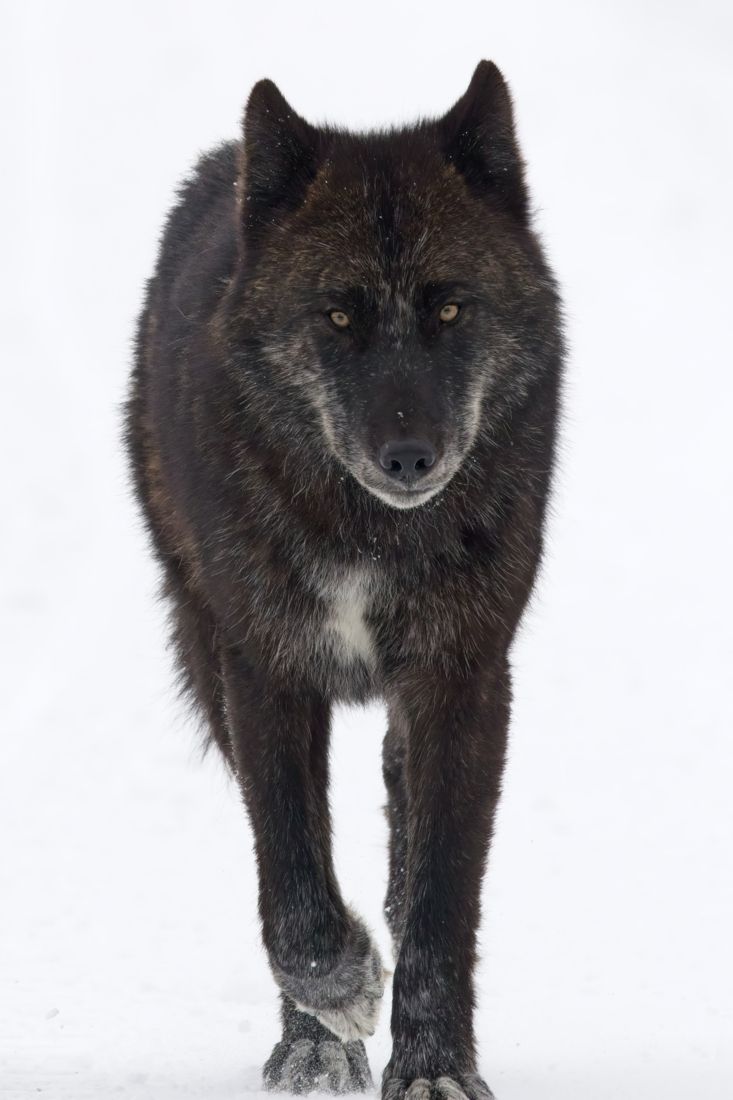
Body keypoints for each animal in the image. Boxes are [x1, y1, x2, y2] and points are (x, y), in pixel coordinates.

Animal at [125, 60, 562, 1098]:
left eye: (449, 308)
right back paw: (313, 1042)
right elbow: (290, 876)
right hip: (202, 646)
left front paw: (434, 1068)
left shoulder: (462, 680)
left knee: (402, 820)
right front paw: (336, 1004)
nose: (408, 457)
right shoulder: (264, 671)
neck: (369, 531)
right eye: (336, 314)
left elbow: (441, 896)